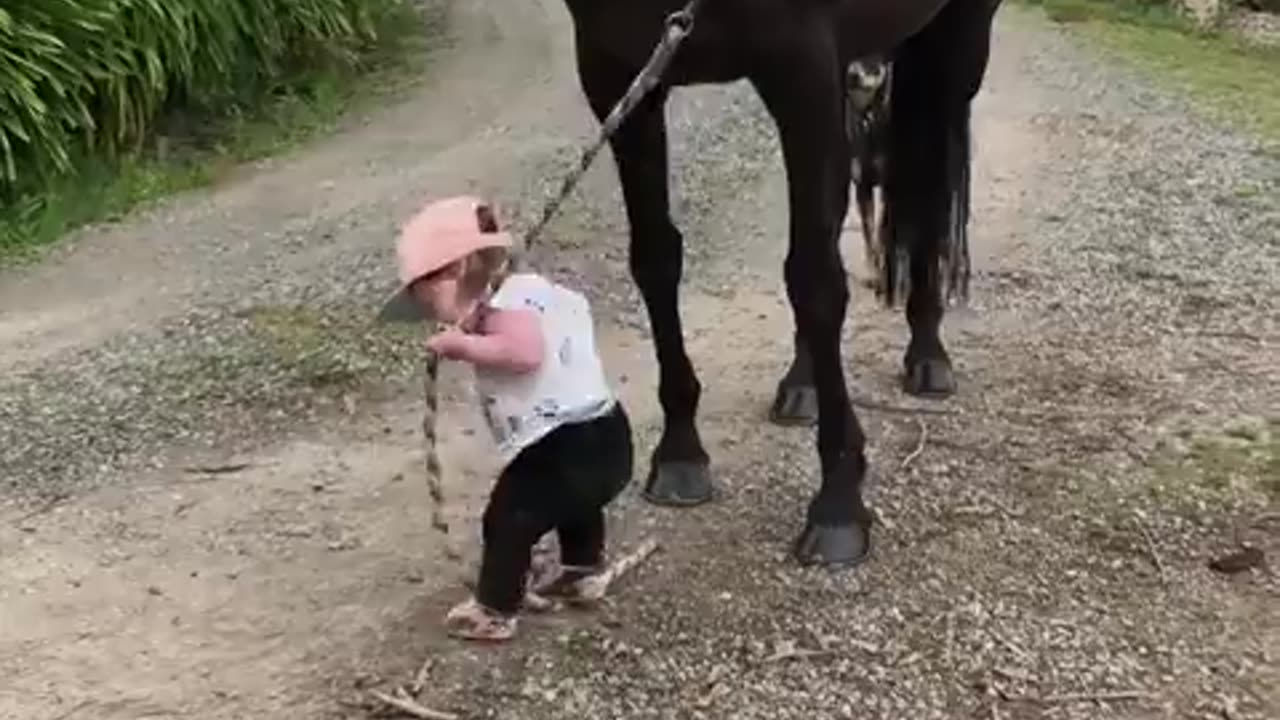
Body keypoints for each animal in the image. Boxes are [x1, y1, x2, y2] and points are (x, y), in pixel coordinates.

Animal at [568, 0, 998, 566]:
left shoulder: (801, 68)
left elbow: (814, 281)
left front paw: (838, 503)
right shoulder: (618, 74)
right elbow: (656, 260)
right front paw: (681, 452)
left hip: (956, 44)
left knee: (929, 183)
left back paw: (928, 355)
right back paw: (803, 384)